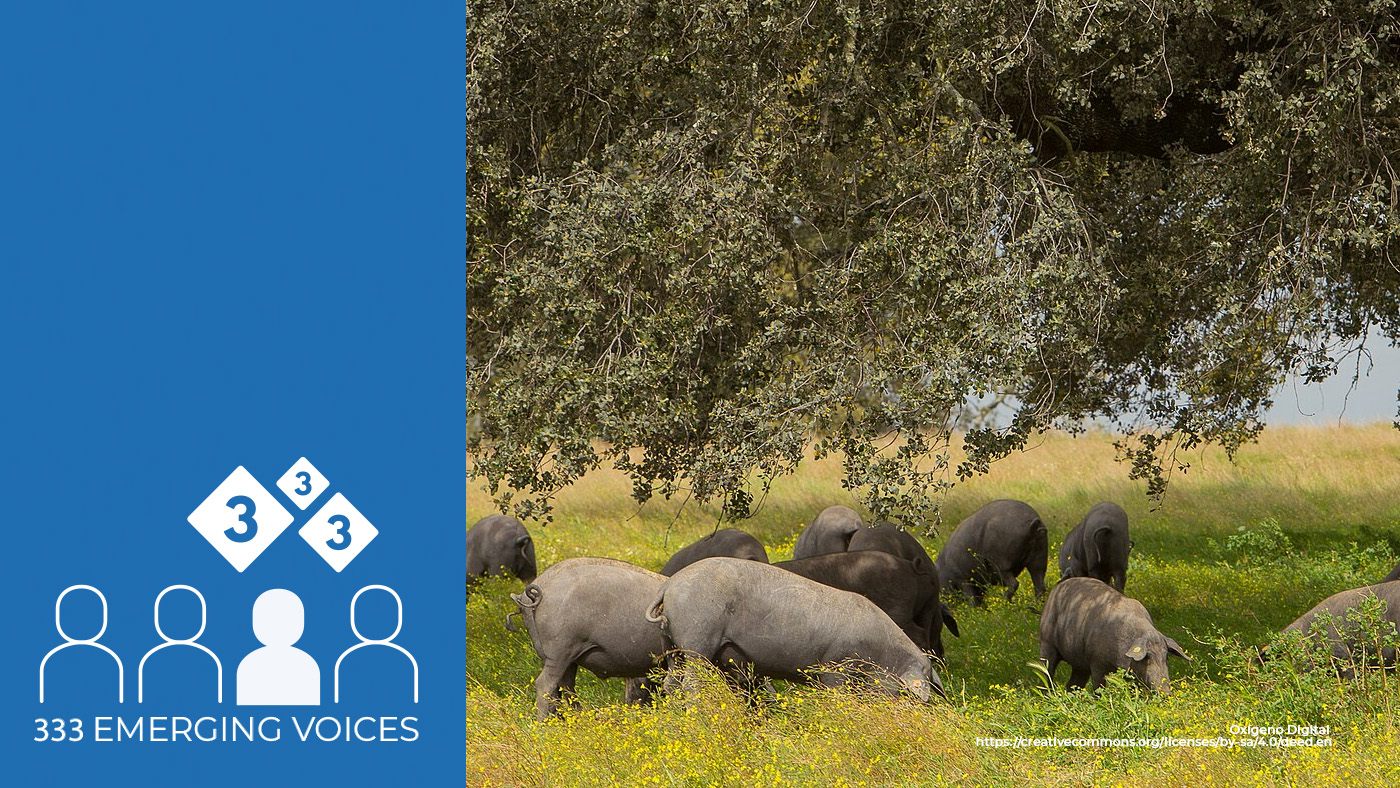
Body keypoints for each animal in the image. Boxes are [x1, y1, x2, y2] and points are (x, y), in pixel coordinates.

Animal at [647, 557, 943, 701]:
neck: (881, 652)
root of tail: (670, 585)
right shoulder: (836, 664)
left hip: (671, 644)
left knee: (670, 682)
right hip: (697, 636)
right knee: (691, 682)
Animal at [1038, 577, 1188, 693]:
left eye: (1166, 656)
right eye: (1147, 657)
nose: (1166, 693)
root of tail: (1056, 589)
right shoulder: (1096, 661)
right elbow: (1099, 687)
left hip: (1079, 661)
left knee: (1073, 684)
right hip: (1046, 641)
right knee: (1046, 671)